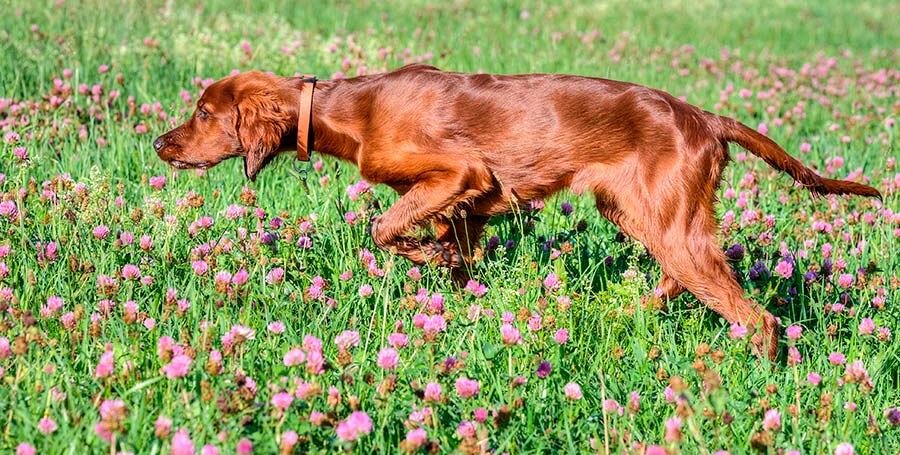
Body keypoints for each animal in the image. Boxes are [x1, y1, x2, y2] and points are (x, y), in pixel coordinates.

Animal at [153, 64, 880, 360]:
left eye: (205, 113)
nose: (160, 144)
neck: (348, 109)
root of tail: (705, 117)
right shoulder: (468, 207)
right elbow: (451, 254)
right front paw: (446, 289)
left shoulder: (460, 173)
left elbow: (385, 227)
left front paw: (425, 253)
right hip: (643, 215)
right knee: (679, 283)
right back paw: (623, 319)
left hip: (670, 224)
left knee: (758, 318)